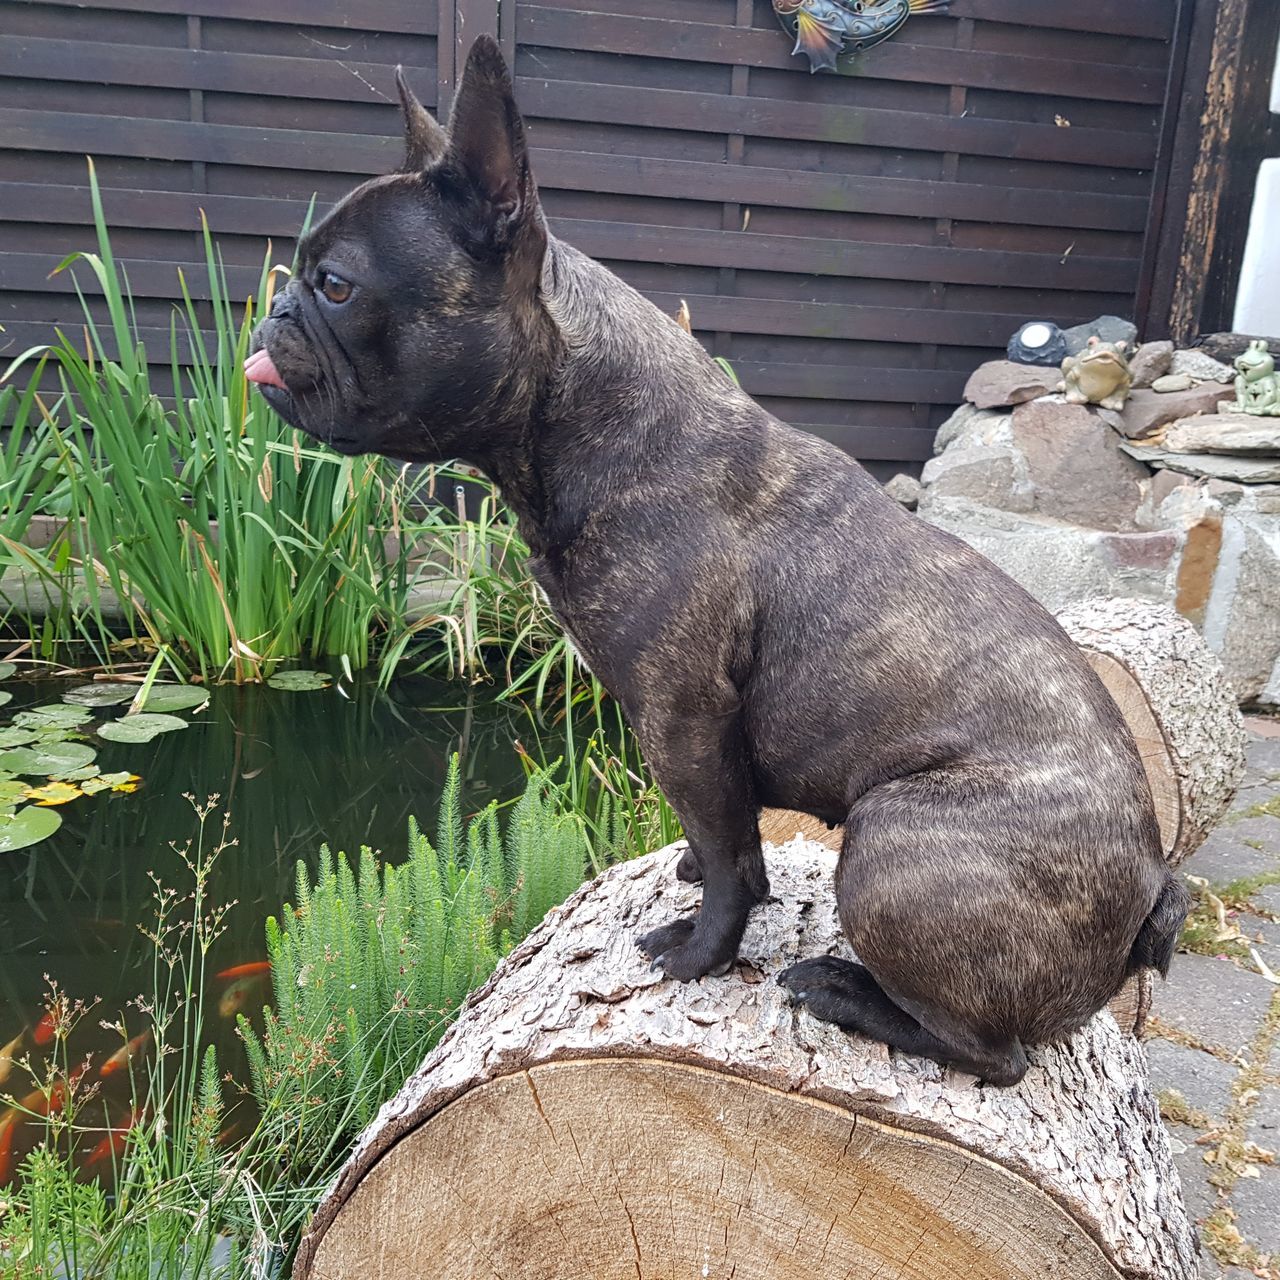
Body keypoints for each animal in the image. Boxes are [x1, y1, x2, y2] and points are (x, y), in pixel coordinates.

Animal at [247, 40, 1187, 1085]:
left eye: (336, 286)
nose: (274, 306)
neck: (586, 420)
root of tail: (1152, 889)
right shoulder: (689, 740)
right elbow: (717, 833)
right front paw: (692, 871)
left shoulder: (684, 712)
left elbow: (739, 864)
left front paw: (701, 951)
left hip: (895, 840)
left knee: (994, 1052)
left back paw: (845, 991)